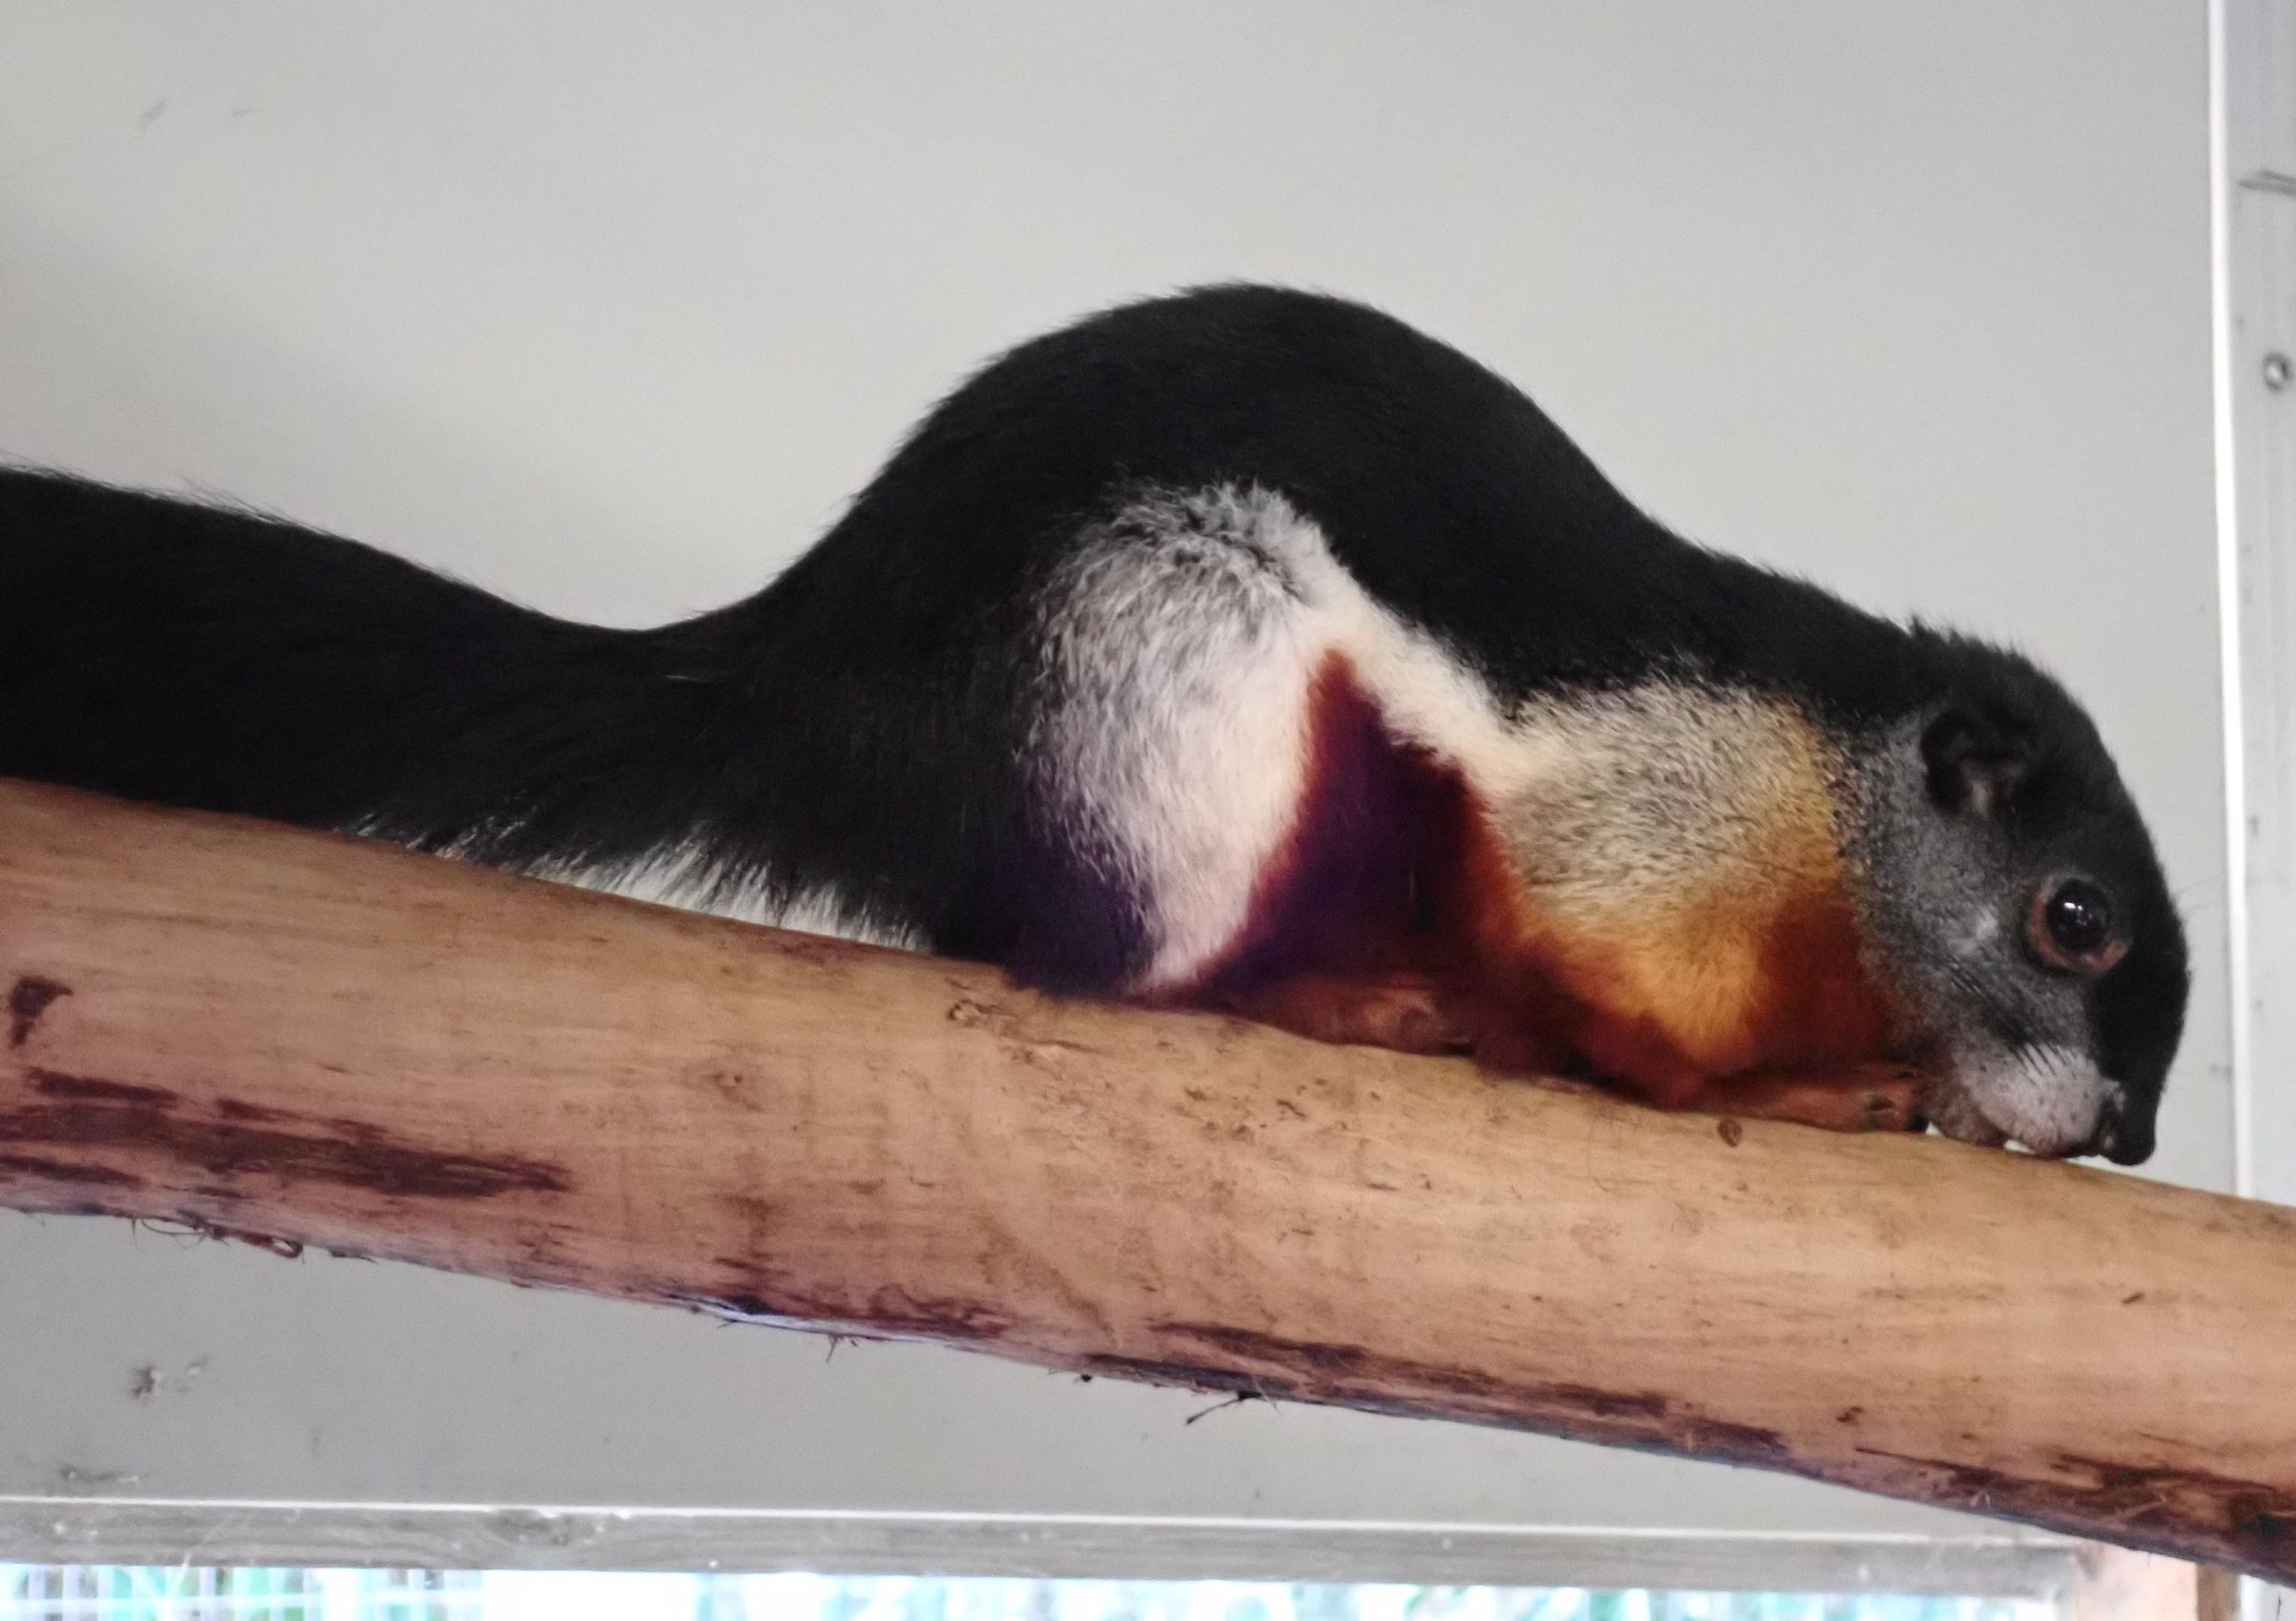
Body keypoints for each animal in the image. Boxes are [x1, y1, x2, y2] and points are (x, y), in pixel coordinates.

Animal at [0, 285, 2188, 1162]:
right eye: (2072, 917)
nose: (2129, 1137)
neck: (1827, 815)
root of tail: (825, 690)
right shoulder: (1640, 825)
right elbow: (1620, 1034)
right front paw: (1814, 1093)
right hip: (1182, 714)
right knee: (1095, 963)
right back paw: (1344, 995)